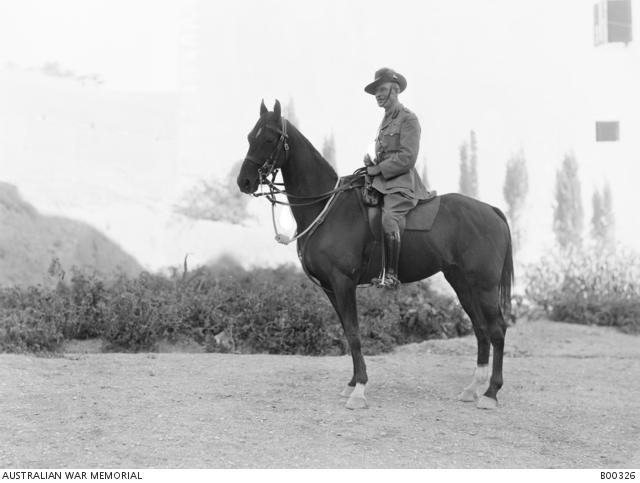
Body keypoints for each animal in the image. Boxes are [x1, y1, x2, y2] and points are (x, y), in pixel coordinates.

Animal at [238, 100, 512, 410]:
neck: (326, 207)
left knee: (497, 329)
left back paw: (491, 392)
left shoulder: (343, 283)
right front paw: (352, 384)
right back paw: (473, 388)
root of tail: (491, 210)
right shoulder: (331, 288)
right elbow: (347, 332)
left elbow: (354, 333)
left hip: (484, 286)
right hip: (462, 283)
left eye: (269, 138)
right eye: (250, 137)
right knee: (480, 328)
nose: (244, 181)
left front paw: (359, 390)